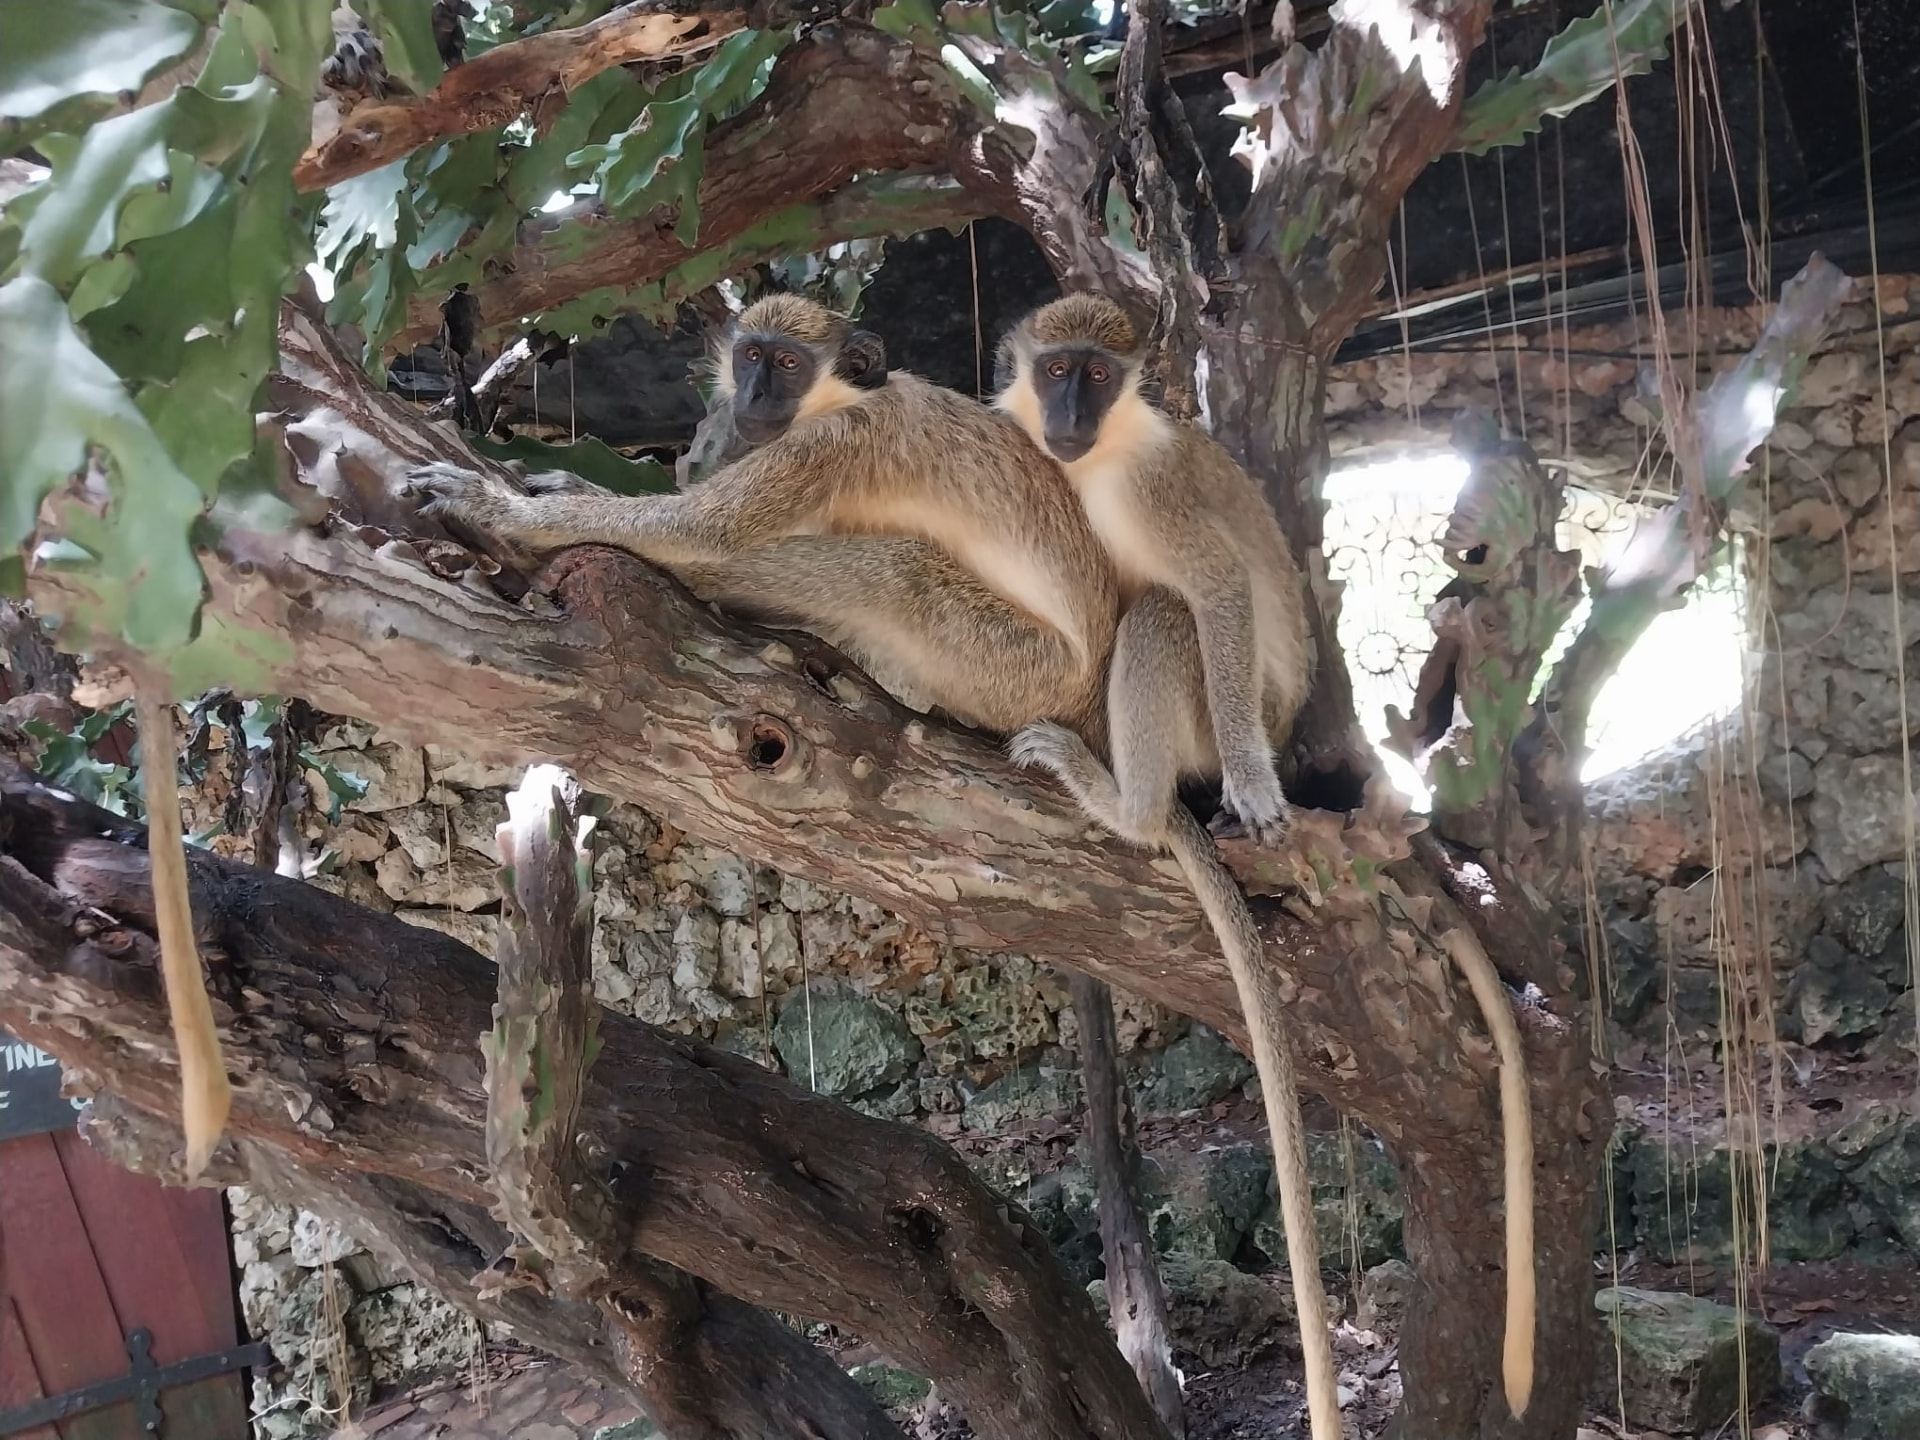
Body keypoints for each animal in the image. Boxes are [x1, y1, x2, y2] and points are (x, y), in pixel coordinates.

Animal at [405, 294, 1119, 749]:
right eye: (751, 356)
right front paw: (577, 486)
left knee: (895, 570)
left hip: (1019, 671)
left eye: (789, 364)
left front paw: (505, 511)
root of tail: (1089, 701)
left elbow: (701, 530)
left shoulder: (833, 443)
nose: (752, 395)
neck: (845, 397)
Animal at [994, 294, 1536, 1428]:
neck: (1098, 459)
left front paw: (1245, 781)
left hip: (1208, 713)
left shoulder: (1153, 493)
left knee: (1165, 616)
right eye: (1056, 369)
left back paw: (1131, 804)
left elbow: (1214, 592)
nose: (1066, 413)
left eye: (1097, 374)